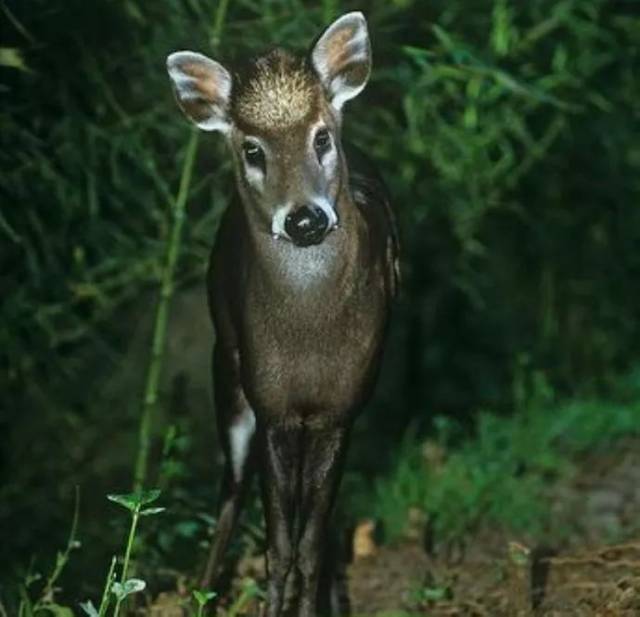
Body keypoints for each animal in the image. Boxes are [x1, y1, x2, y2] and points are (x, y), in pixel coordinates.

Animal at [166, 10, 400, 616]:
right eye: (252, 150)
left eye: (321, 136)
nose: (305, 219)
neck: (308, 340)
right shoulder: (272, 405)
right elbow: (278, 546)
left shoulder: (340, 409)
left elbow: (311, 543)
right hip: (227, 373)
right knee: (230, 491)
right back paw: (203, 590)